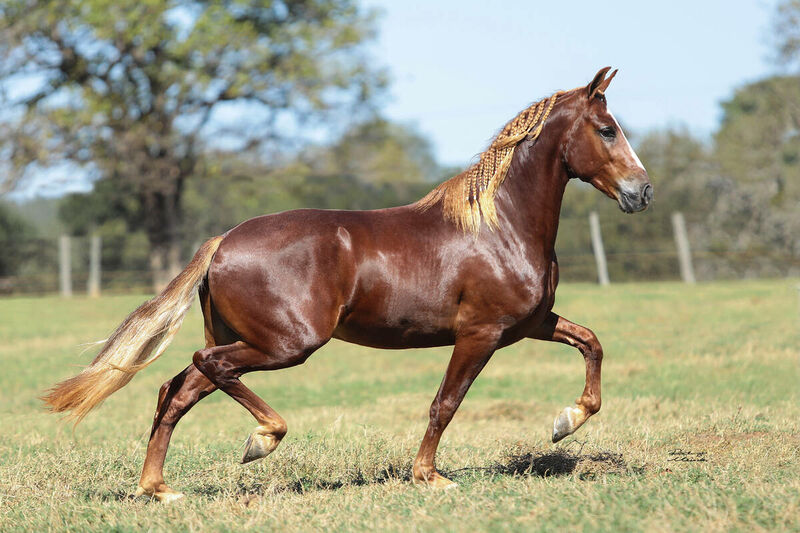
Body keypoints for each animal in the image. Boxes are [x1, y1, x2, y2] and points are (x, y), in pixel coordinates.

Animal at [45, 66, 648, 498]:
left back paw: (159, 489)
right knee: (205, 368)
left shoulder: (529, 324)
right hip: (285, 344)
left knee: (177, 390)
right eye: (607, 130)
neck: (500, 226)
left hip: (246, 340)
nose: (642, 192)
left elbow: (591, 342)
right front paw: (430, 477)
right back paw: (261, 440)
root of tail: (224, 241)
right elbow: (445, 403)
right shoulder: (480, 334)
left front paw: (565, 421)